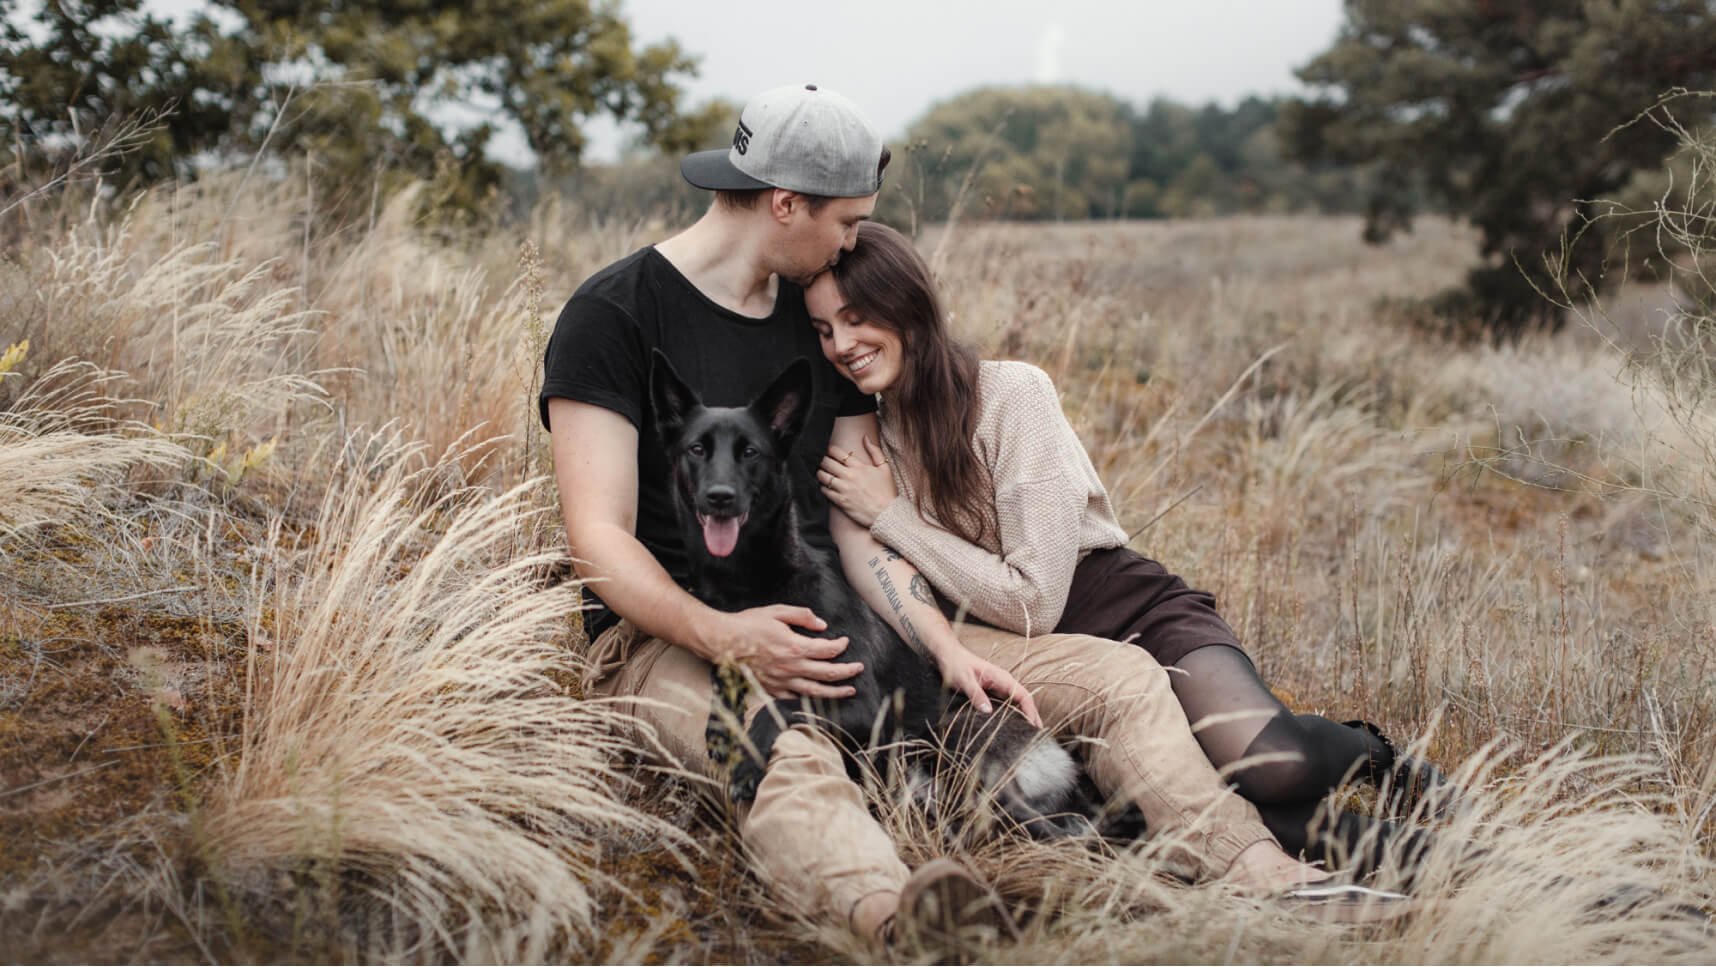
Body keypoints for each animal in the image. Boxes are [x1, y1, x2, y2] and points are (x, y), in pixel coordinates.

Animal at [648, 351, 1091, 833]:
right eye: (696, 449)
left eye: (750, 452)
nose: (719, 497)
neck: (754, 580)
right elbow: (728, 682)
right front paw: (723, 724)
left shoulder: (860, 704)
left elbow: (782, 704)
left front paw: (748, 759)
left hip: (953, 744)